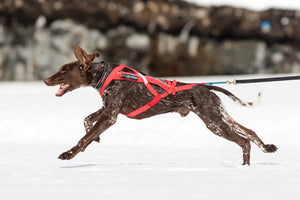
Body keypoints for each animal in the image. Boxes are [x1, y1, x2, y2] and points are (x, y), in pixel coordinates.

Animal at [44, 45, 276, 166]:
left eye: (63, 71)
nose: (46, 80)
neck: (104, 75)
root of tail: (206, 88)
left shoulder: (110, 115)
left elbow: (83, 138)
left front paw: (69, 154)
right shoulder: (108, 109)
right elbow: (87, 121)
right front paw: (94, 137)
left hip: (214, 123)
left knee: (244, 141)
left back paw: (244, 167)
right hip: (221, 117)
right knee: (250, 132)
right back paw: (267, 148)